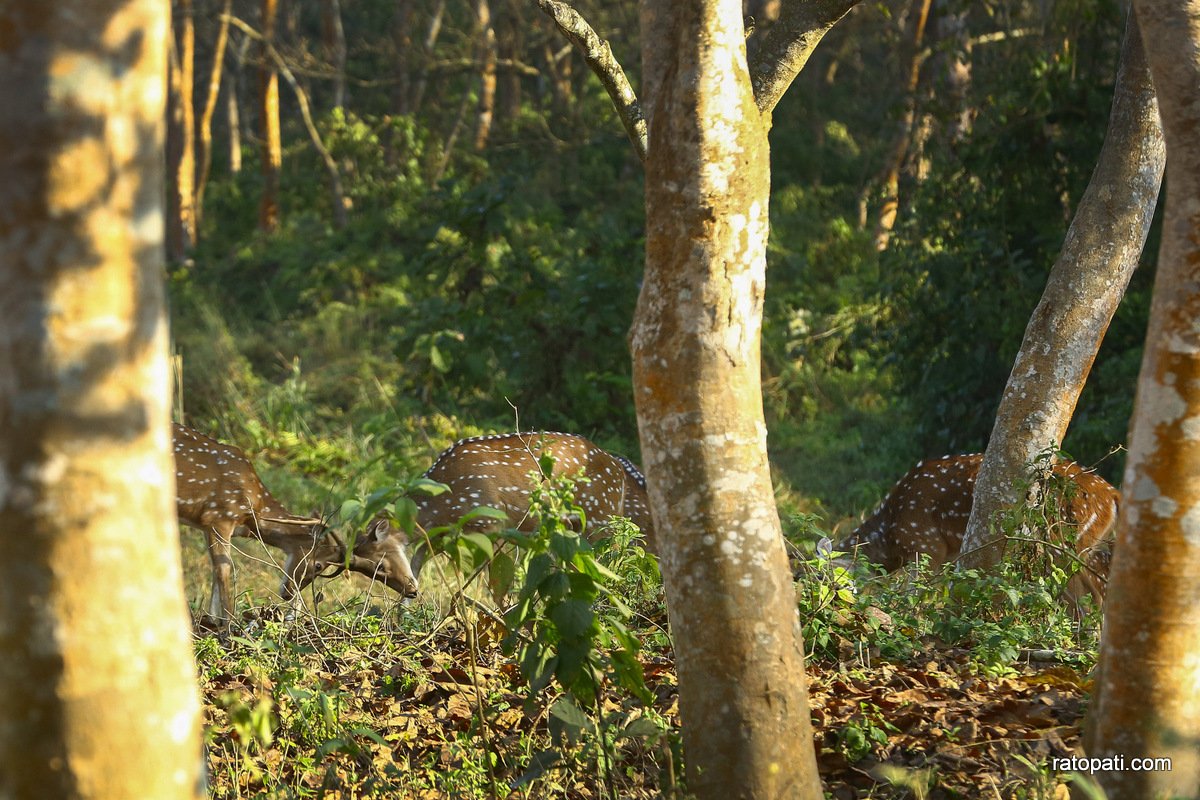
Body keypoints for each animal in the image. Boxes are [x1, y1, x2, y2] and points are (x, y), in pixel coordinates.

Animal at [171, 422, 420, 623]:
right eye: (319, 565)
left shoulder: (206, 524)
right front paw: (229, 627)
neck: (254, 511)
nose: (288, 593)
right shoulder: (220, 515)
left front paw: (212, 622)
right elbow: (224, 568)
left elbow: (215, 571)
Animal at [360, 431, 662, 582]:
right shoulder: (441, 534)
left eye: (378, 566)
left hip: (602, 518)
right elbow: (418, 562)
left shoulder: (488, 522)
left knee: (614, 563)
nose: (406, 590)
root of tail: (617, 469)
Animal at [840, 455, 1118, 606]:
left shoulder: (927, 544)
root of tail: (1113, 494)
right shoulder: (949, 554)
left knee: (1090, 598)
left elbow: (915, 592)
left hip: (1066, 541)